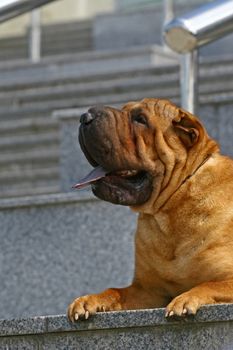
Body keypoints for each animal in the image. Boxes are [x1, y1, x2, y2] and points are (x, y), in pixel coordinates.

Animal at [66, 97, 233, 322]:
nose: (85, 117)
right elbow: (115, 291)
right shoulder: (148, 290)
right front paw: (89, 299)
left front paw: (185, 299)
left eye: (140, 119)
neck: (171, 209)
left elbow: (208, 285)